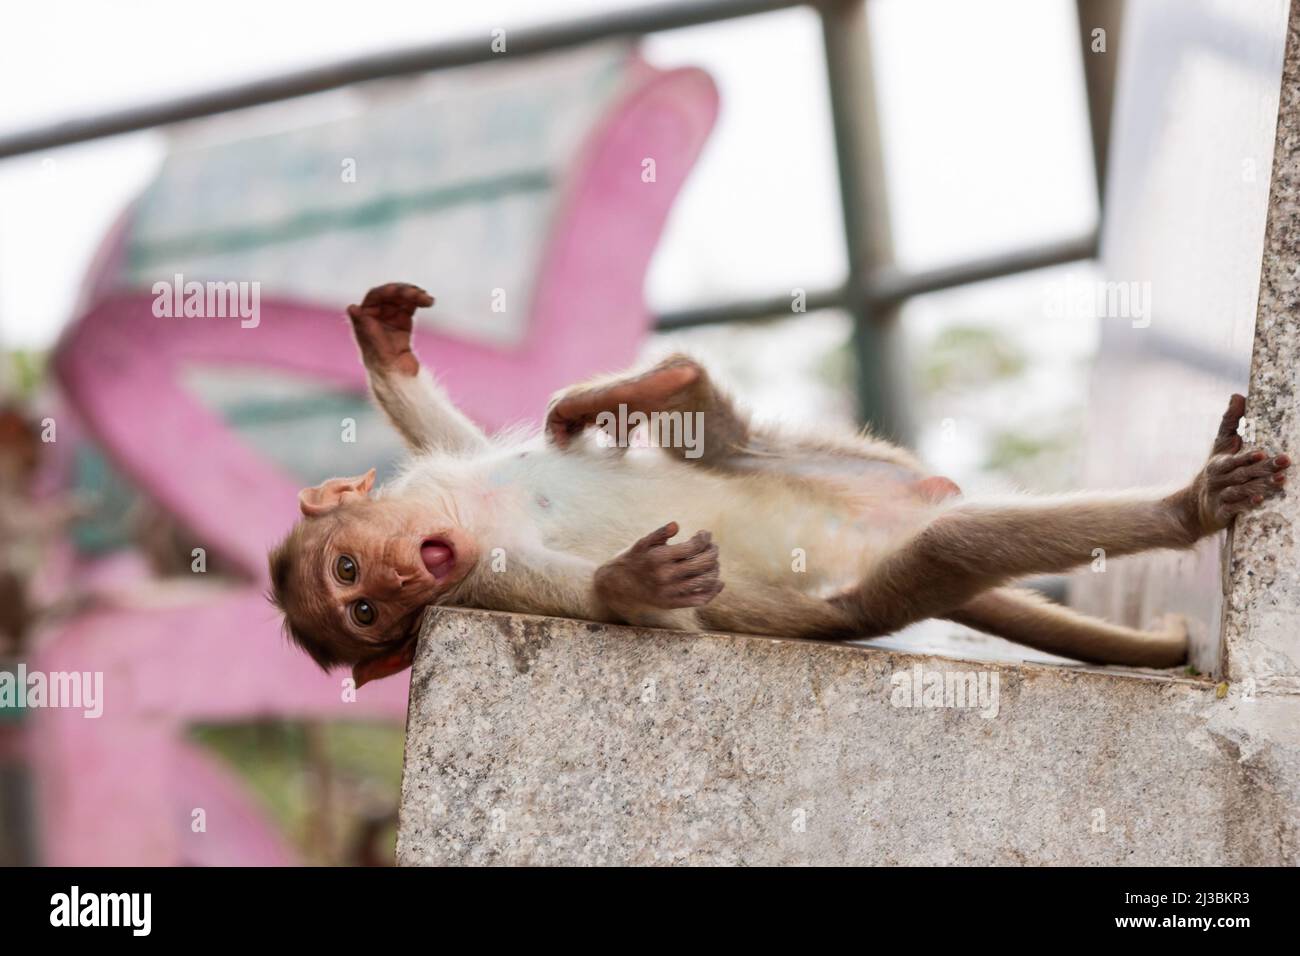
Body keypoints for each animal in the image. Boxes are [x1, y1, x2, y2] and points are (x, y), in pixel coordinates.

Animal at [266, 283, 1289, 686]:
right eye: (364, 612)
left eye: (353, 571)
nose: (404, 576)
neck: (464, 515)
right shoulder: (487, 581)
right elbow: (648, 612)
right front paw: (632, 583)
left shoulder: (448, 481)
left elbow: (454, 430)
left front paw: (386, 350)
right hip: (868, 583)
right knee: (949, 546)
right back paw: (1191, 506)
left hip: (851, 460)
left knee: (719, 445)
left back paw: (667, 388)